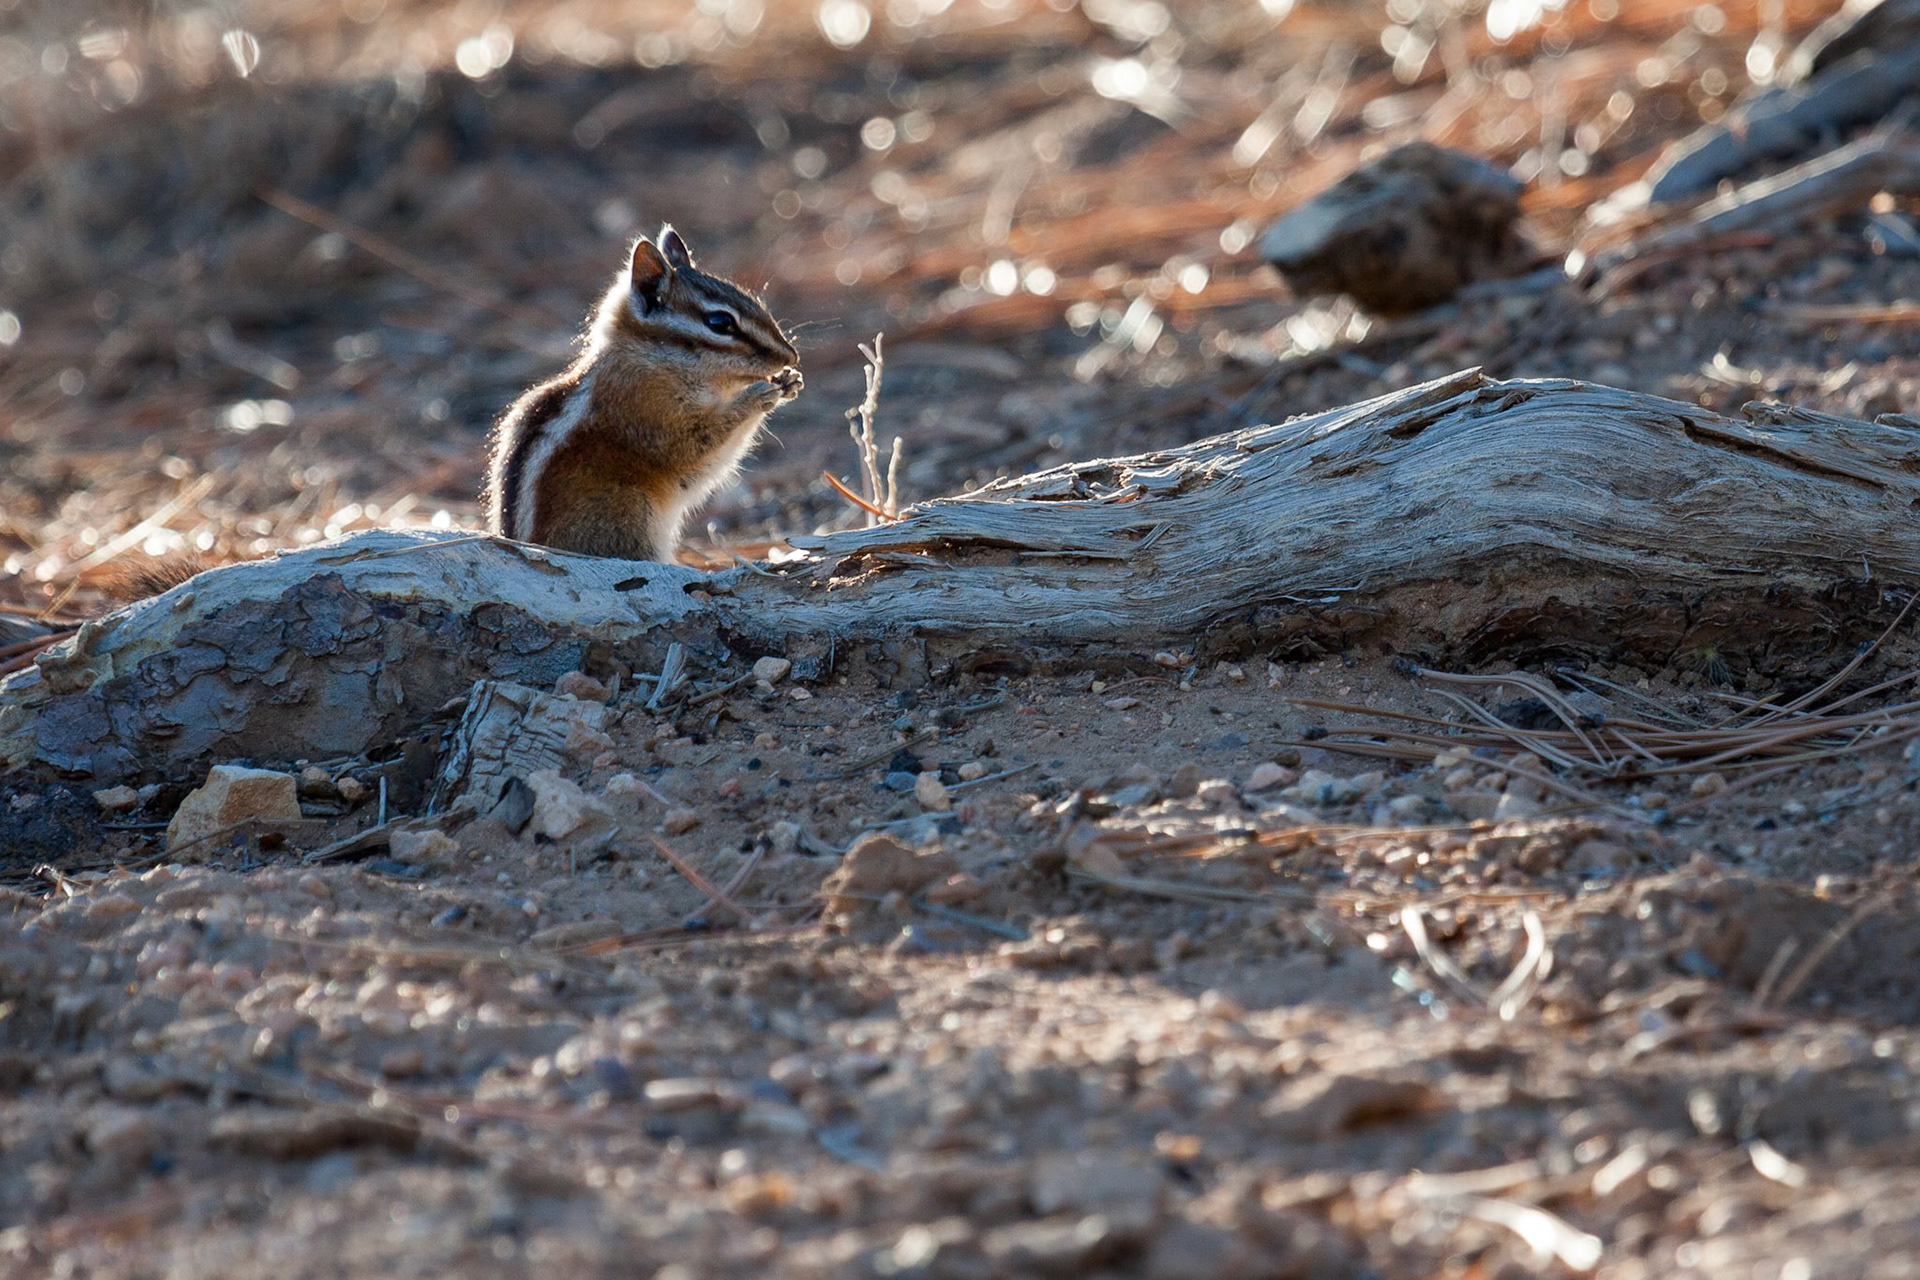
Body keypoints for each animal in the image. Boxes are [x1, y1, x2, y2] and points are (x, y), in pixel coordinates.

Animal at [487, 225, 802, 561]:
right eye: (721, 322)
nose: (791, 356)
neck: (649, 357)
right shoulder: (647, 413)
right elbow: (696, 448)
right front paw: (755, 397)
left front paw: (789, 380)